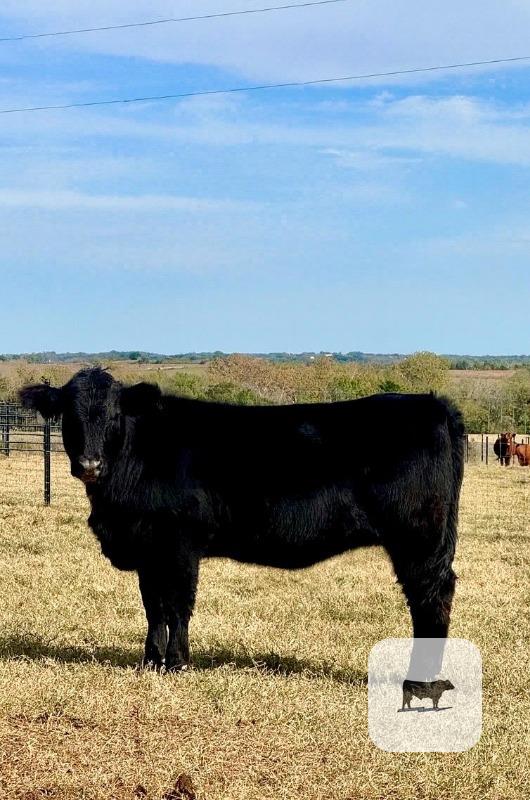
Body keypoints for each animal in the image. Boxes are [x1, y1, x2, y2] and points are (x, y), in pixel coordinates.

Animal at [20, 368, 464, 672]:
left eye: (113, 416)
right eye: (69, 416)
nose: (89, 465)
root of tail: (433, 404)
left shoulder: (179, 543)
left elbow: (178, 604)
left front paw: (177, 662)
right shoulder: (148, 549)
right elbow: (153, 606)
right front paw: (150, 661)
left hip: (419, 541)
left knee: (431, 598)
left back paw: (421, 678)